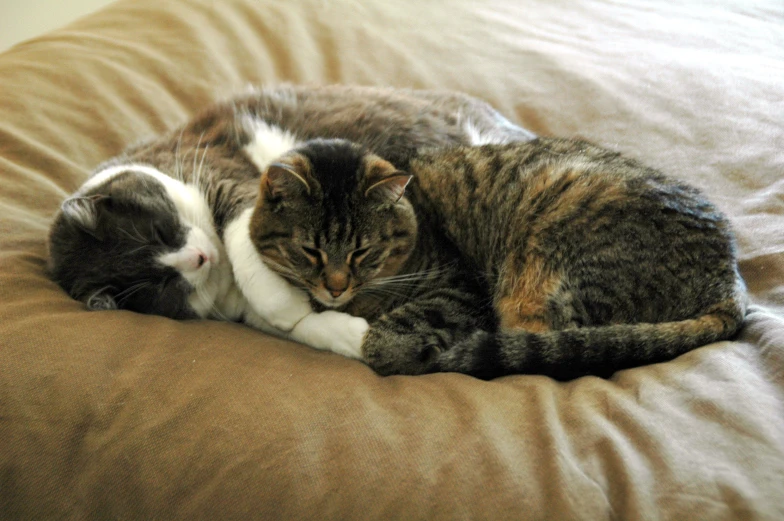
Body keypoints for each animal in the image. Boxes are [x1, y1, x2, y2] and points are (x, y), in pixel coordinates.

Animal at [49, 85, 536, 356]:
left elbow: (245, 243)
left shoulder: (232, 175)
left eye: (160, 231)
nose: (200, 258)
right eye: (161, 285)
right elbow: (307, 329)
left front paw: (288, 304)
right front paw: (349, 332)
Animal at [250, 134, 748, 378]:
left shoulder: (460, 286)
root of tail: (728, 279)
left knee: (564, 351)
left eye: (362, 251)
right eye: (310, 250)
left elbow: (389, 333)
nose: (335, 287)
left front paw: (380, 342)